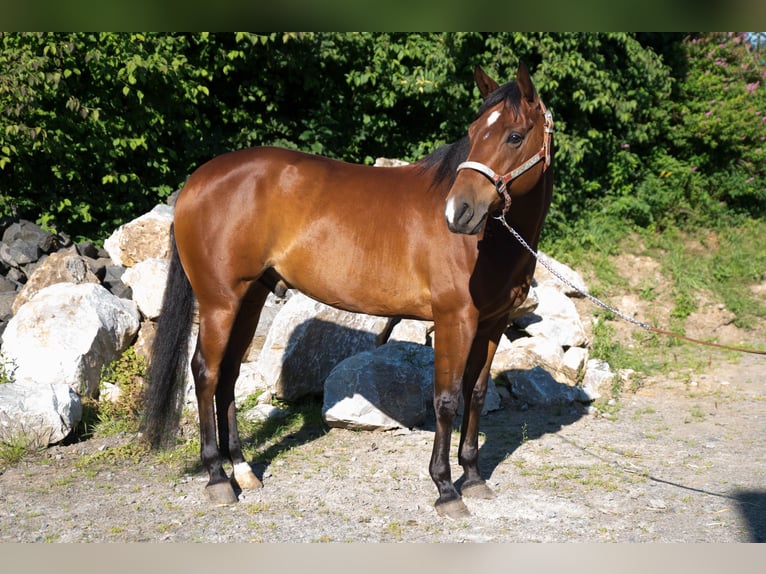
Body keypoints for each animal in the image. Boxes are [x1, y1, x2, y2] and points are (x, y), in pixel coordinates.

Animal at [141, 60, 556, 520]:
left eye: (514, 136)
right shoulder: (455, 320)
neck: (491, 241)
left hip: (249, 300)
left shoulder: (492, 324)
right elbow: (447, 399)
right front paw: (446, 488)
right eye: (474, 129)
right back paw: (217, 477)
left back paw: (243, 470)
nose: (458, 212)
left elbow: (477, 394)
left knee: (228, 375)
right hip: (219, 303)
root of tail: (198, 180)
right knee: (206, 372)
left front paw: (475, 476)